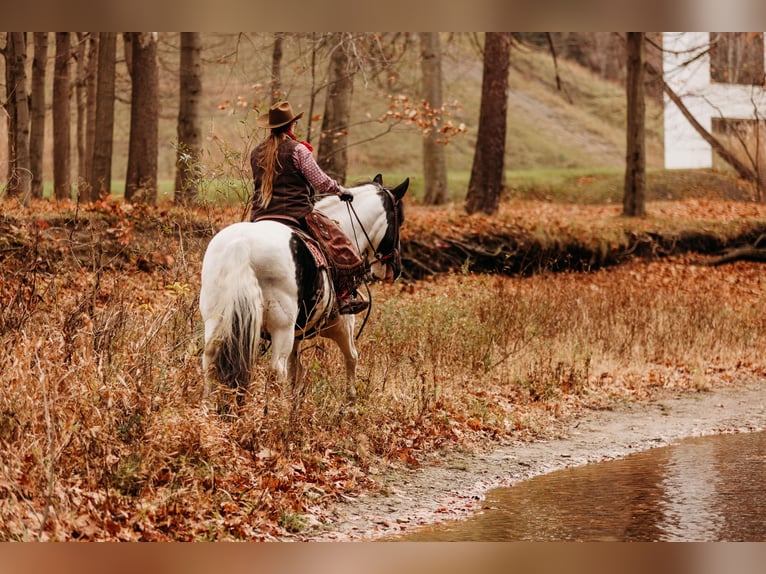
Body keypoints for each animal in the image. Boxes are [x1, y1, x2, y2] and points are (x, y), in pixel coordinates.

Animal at [201, 174, 412, 410]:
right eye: (400, 220)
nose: (395, 269)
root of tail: (241, 245)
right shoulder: (342, 324)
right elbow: (352, 357)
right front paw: (350, 402)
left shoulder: (297, 334)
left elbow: (296, 371)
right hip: (281, 327)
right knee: (277, 371)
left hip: (217, 320)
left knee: (209, 362)